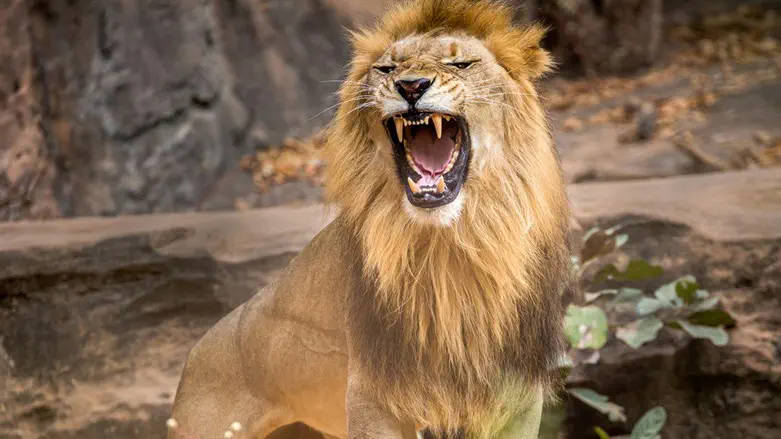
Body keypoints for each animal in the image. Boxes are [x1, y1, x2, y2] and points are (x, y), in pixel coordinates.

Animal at [168, 1, 572, 438]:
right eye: (387, 69)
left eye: (461, 63)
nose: (411, 87)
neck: (450, 243)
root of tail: (195, 353)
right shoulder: (375, 395)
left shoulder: (516, 397)